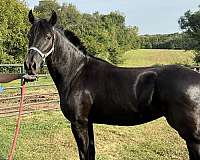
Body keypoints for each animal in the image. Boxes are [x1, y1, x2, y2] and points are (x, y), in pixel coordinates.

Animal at [24, 10, 199, 159]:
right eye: (29, 35)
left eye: (48, 36)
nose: (30, 65)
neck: (76, 72)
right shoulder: (88, 122)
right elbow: (91, 153)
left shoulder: (79, 123)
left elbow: (84, 154)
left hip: (192, 136)